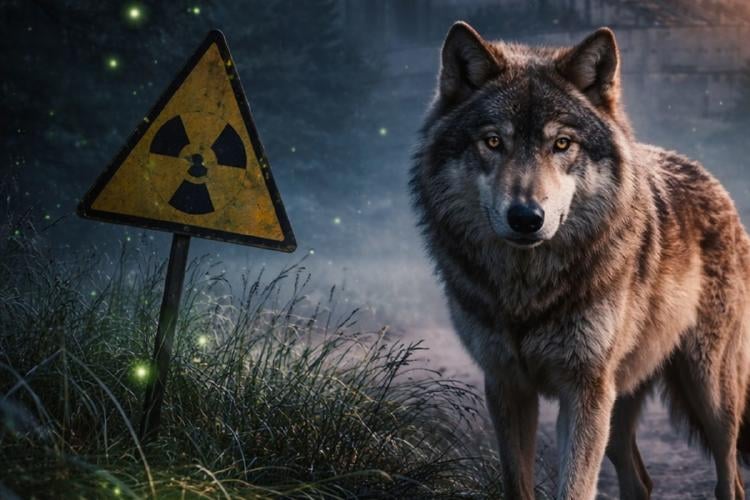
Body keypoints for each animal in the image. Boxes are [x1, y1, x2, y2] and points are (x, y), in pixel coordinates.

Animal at [410, 21, 750, 500]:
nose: (526, 217)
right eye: (493, 141)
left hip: (709, 393)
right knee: (641, 481)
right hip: (621, 401)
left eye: (562, 143)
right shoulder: (506, 385)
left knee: (730, 478)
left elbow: (574, 488)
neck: (527, 291)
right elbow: (518, 484)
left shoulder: (585, 388)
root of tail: (707, 176)